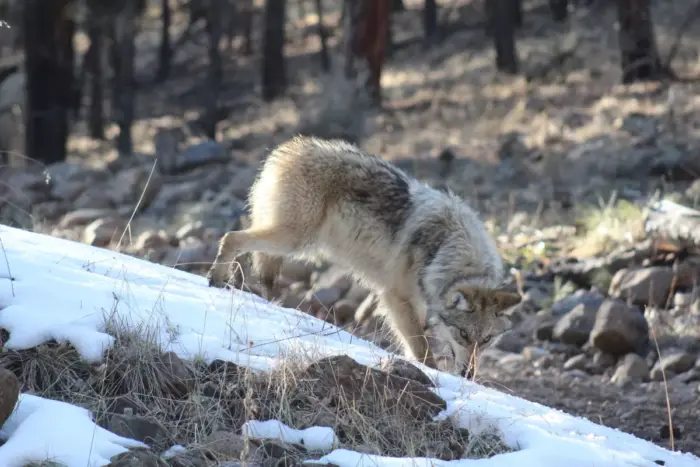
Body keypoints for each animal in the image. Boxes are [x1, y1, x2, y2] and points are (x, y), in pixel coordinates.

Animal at [207, 136, 520, 376]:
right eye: (464, 335)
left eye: (487, 339)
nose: (468, 374)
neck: (448, 251)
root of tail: (287, 150)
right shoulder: (395, 297)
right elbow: (421, 348)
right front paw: (431, 373)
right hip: (295, 241)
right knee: (232, 237)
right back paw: (216, 280)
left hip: (293, 243)